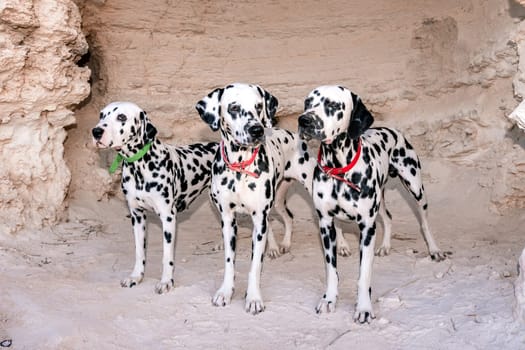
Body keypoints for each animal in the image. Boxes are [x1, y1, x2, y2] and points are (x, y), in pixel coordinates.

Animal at [92, 102, 217, 294]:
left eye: (121, 117)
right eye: (101, 115)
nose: (96, 131)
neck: (140, 166)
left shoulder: (168, 219)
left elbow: (167, 256)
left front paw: (166, 281)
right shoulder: (137, 216)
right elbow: (139, 251)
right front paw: (136, 277)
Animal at [196, 82, 328, 314]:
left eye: (258, 106)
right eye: (234, 107)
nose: (256, 129)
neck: (240, 169)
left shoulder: (259, 218)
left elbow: (255, 265)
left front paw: (254, 298)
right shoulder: (230, 219)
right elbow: (229, 262)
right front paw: (225, 292)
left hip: (310, 191)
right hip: (275, 201)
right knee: (287, 217)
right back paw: (278, 245)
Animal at [296, 86, 444, 324]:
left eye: (332, 105)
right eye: (307, 103)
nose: (304, 120)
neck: (339, 169)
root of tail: (391, 130)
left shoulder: (366, 228)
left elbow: (364, 275)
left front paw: (364, 308)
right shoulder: (325, 224)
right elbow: (331, 270)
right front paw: (329, 299)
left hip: (415, 187)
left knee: (424, 222)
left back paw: (434, 249)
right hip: (379, 201)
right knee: (387, 217)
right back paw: (381, 246)